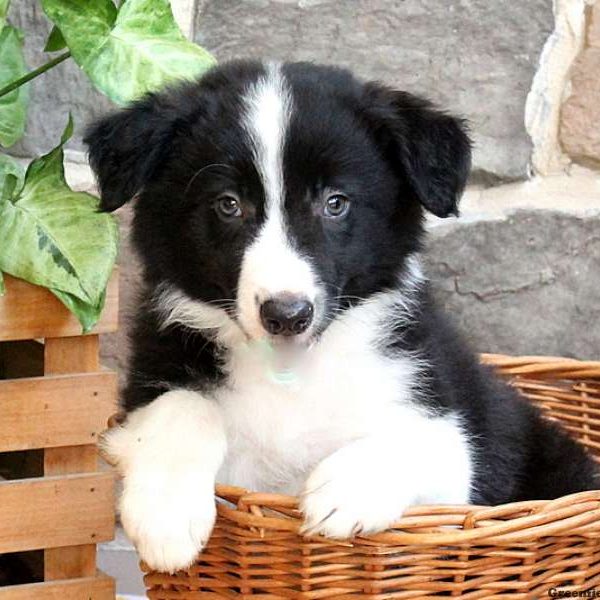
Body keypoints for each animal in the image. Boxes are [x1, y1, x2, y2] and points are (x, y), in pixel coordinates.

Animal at [86, 59, 596, 572]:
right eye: (228, 204)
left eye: (335, 203)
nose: (287, 314)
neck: (287, 374)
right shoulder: (151, 374)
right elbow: (181, 405)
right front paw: (166, 516)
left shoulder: (454, 450)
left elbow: (418, 440)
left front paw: (342, 492)